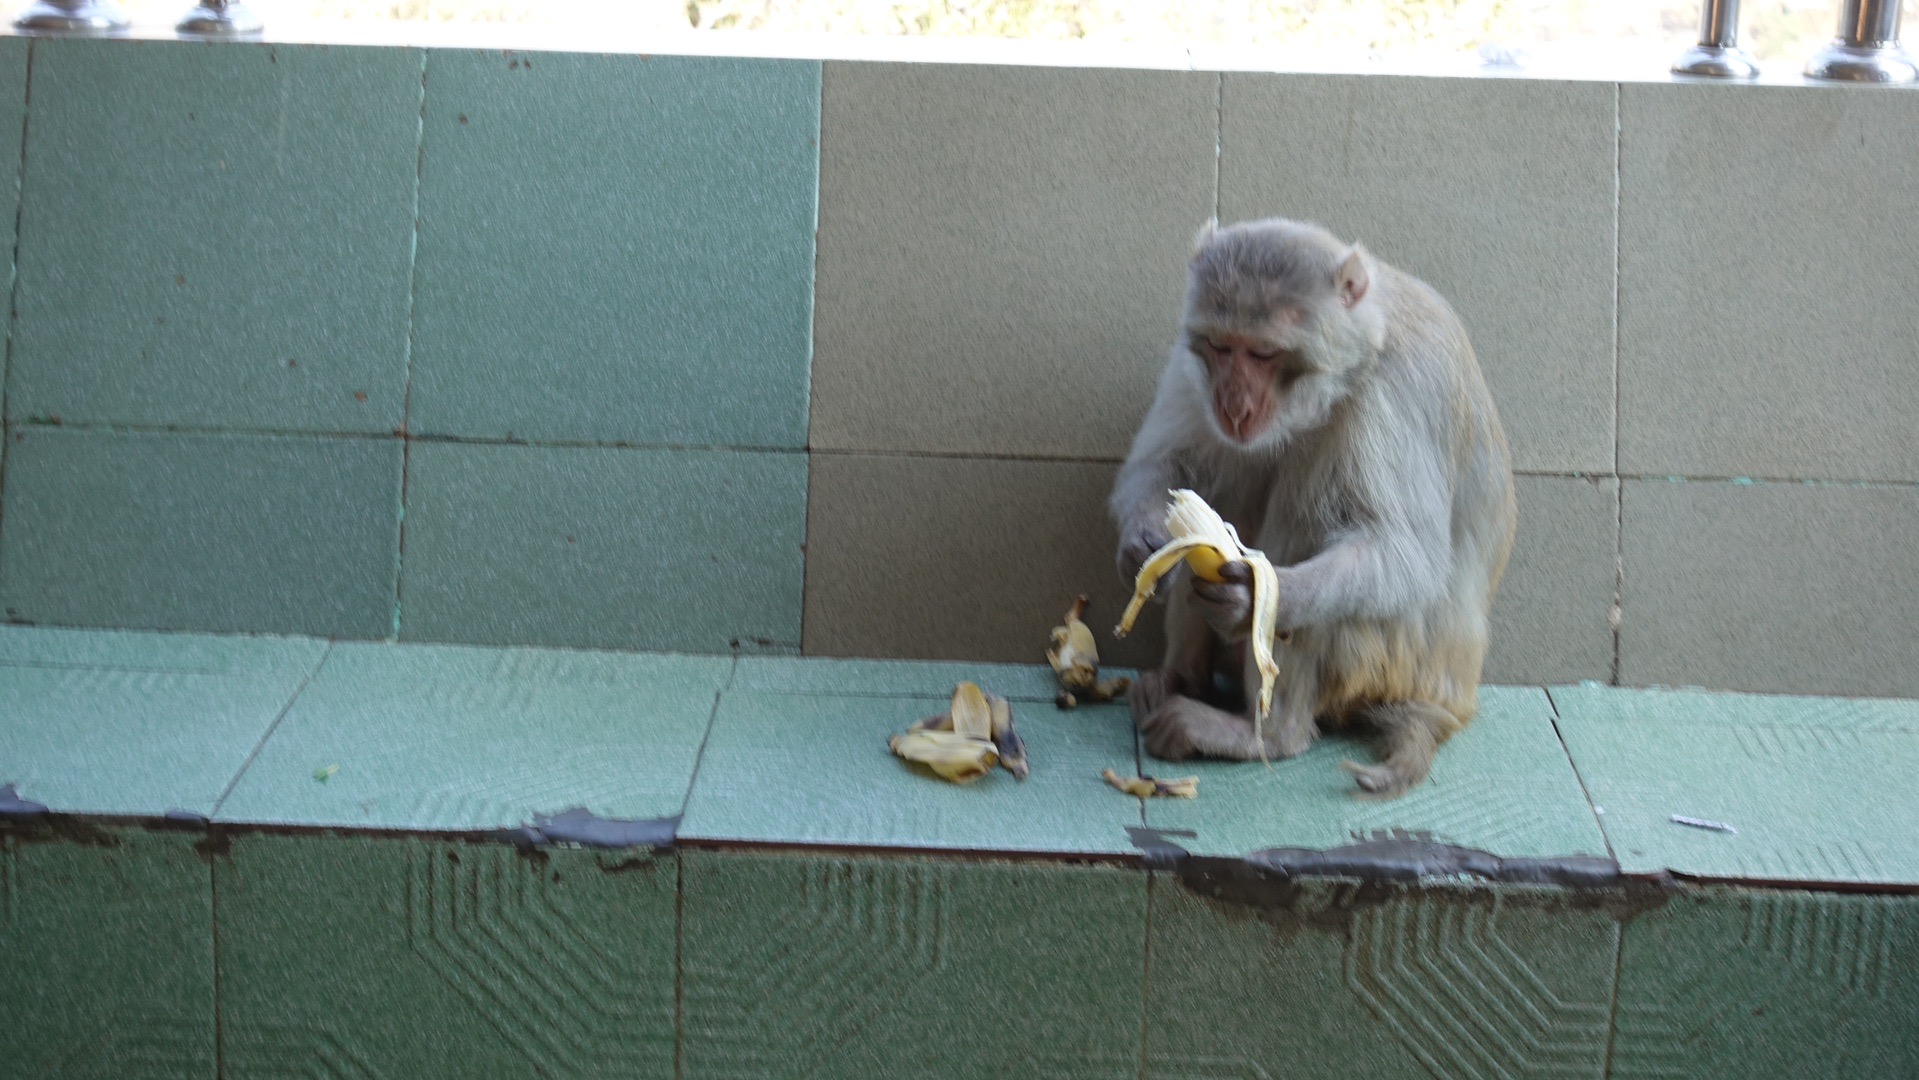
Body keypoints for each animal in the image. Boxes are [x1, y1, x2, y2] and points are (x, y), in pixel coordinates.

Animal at [1113, 217, 1512, 794]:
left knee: (1311, 485)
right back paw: (1183, 680)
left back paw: (1269, 733)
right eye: (1220, 346)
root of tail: (1453, 697)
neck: (1359, 356)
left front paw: (1257, 596)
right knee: (1233, 472)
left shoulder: (1392, 393)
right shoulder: (1193, 369)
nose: (1233, 405)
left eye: (1263, 354)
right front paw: (1142, 543)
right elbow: (1163, 464)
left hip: (1384, 662)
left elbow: (1406, 554)